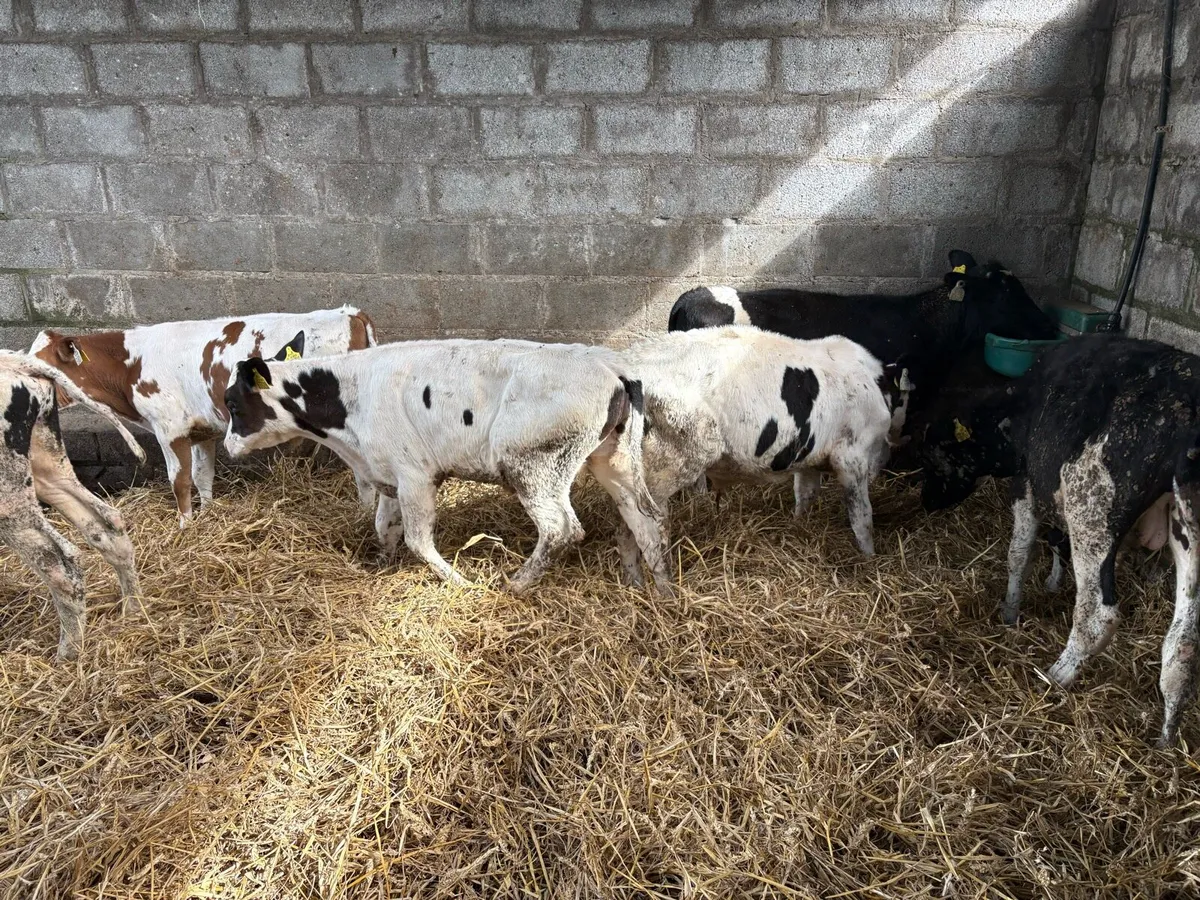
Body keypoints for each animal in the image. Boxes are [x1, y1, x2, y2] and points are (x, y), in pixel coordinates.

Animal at [0, 351, 145, 660]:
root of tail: (18, 362)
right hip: (46, 465)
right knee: (108, 526)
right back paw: (133, 608)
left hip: (7, 498)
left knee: (60, 564)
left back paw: (67, 653)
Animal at [29, 306, 377, 527]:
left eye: (39, 365)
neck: (131, 366)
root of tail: (349, 313)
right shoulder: (201, 431)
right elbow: (201, 476)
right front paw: (208, 511)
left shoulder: (169, 429)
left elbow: (179, 481)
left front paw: (185, 524)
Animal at [220, 336, 671, 596]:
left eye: (232, 404)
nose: (226, 445)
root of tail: (611, 366)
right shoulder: (388, 474)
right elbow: (384, 526)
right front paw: (381, 564)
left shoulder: (414, 476)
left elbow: (418, 541)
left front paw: (461, 582)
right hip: (613, 458)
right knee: (646, 520)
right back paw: (659, 589)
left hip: (534, 466)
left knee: (562, 528)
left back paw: (517, 584)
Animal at [609, 326, 900, 587]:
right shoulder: (852, 457)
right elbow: (862, 516)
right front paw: (870, 559)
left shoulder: (809, 457)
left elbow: (805, 495)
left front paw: (798, 527)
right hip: (664, 472)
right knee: (647, 535)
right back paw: (664, 591)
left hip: (624, 479)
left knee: (625, 532)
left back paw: (634, 586)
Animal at [920, 334, 1200, 747]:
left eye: (935, 452)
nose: (924, 500)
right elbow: (1056, 541)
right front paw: (1053, 581)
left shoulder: (1028, 482)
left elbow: (1019, 554)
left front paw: (1010, 611)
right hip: (1187, 534)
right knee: (1184, 643)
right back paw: (1165, 739)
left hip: (1093, 513)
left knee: (1098, 615)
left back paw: (1056, 676)